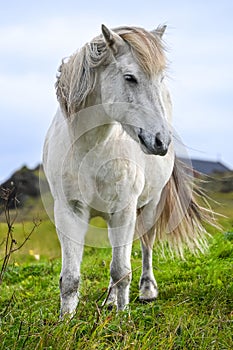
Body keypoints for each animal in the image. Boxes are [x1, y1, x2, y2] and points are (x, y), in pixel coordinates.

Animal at [43, 23, 209, 316]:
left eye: (160, 78)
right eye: (130, 77)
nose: (161, 141)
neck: (91, 149)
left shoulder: (124, 210)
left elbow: (121, 270)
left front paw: (122, 317)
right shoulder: (68, 211)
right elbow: (70, 277)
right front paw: (66, 320)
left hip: (149, 207)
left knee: (146, 246)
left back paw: (146, 291)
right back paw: (110, 300)